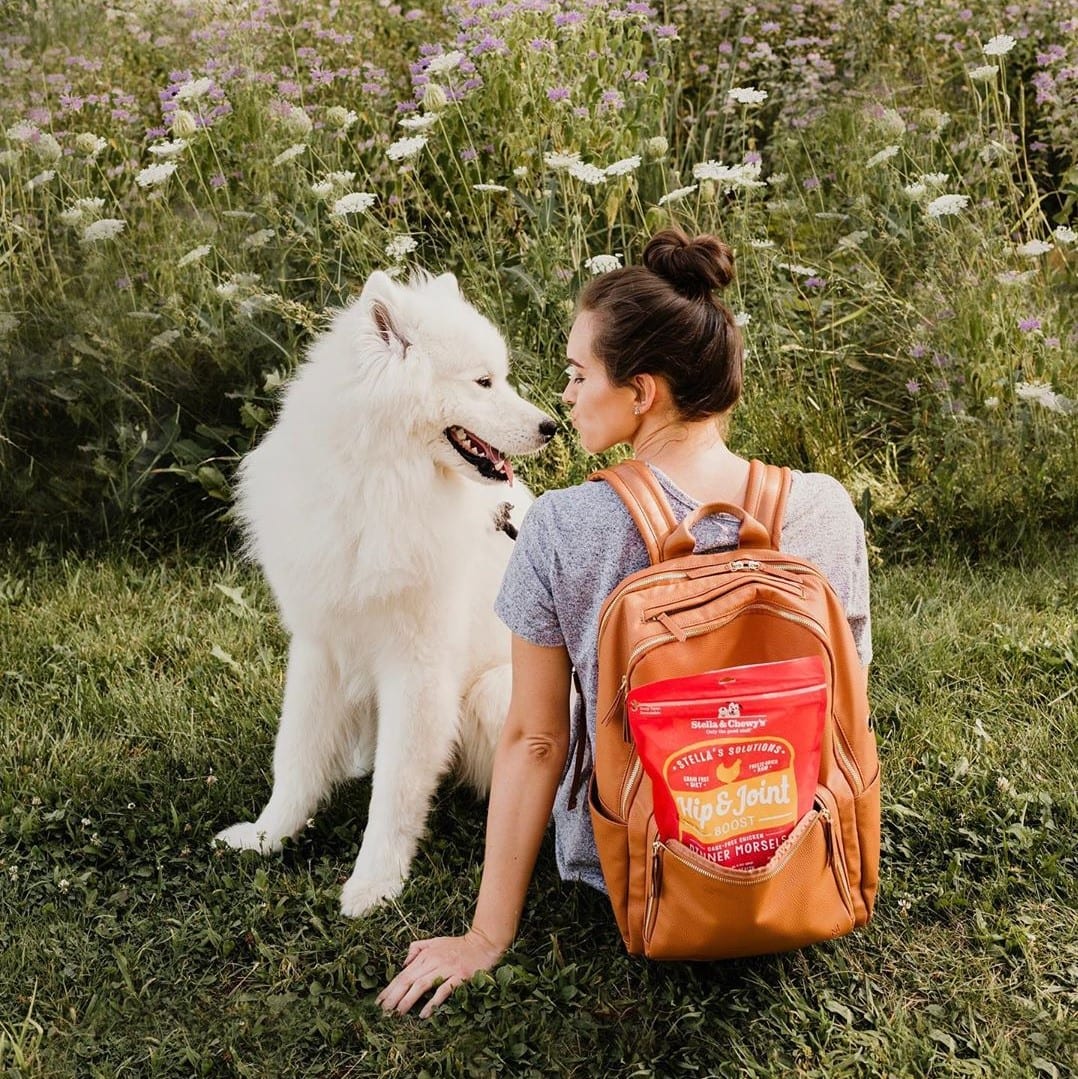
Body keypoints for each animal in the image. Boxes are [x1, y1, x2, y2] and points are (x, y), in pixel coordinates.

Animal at [215, 265, 561, 914]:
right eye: (484, 381)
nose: (552, 426)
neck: (379, 483)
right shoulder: (319, 647)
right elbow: (295, 754)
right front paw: (268, 836)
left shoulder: (418, 670)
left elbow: (395, 791)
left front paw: (374, 885)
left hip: (495, 692)